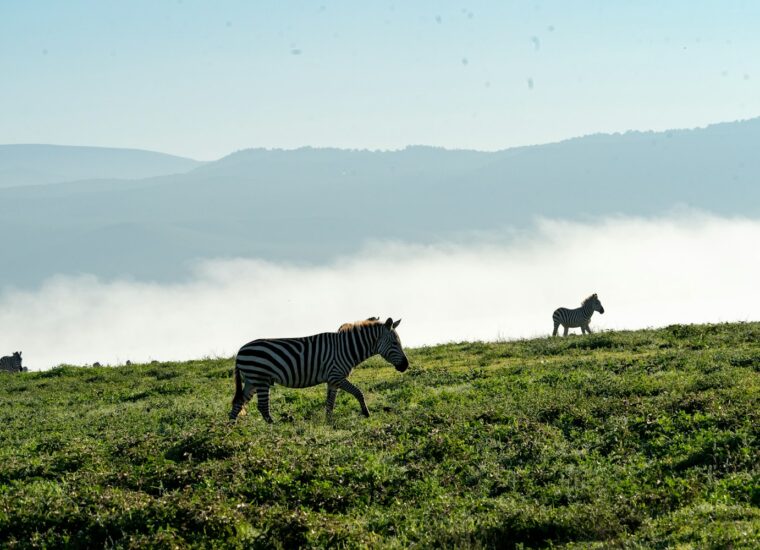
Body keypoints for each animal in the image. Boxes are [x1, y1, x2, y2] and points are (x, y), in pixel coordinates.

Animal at [230, 317, 409, 423]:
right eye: (395, 343)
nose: (406, 366)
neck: (346, 348)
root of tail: (239, 352)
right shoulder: (337, 376)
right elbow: (358, 392)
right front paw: (366, 413)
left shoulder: (332, 380)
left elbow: (330, 403)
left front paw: (328, 422)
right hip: (261, 379)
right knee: (262, 406)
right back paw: (274, 427)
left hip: (252, 381)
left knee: (239, 402)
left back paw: (231, 428)